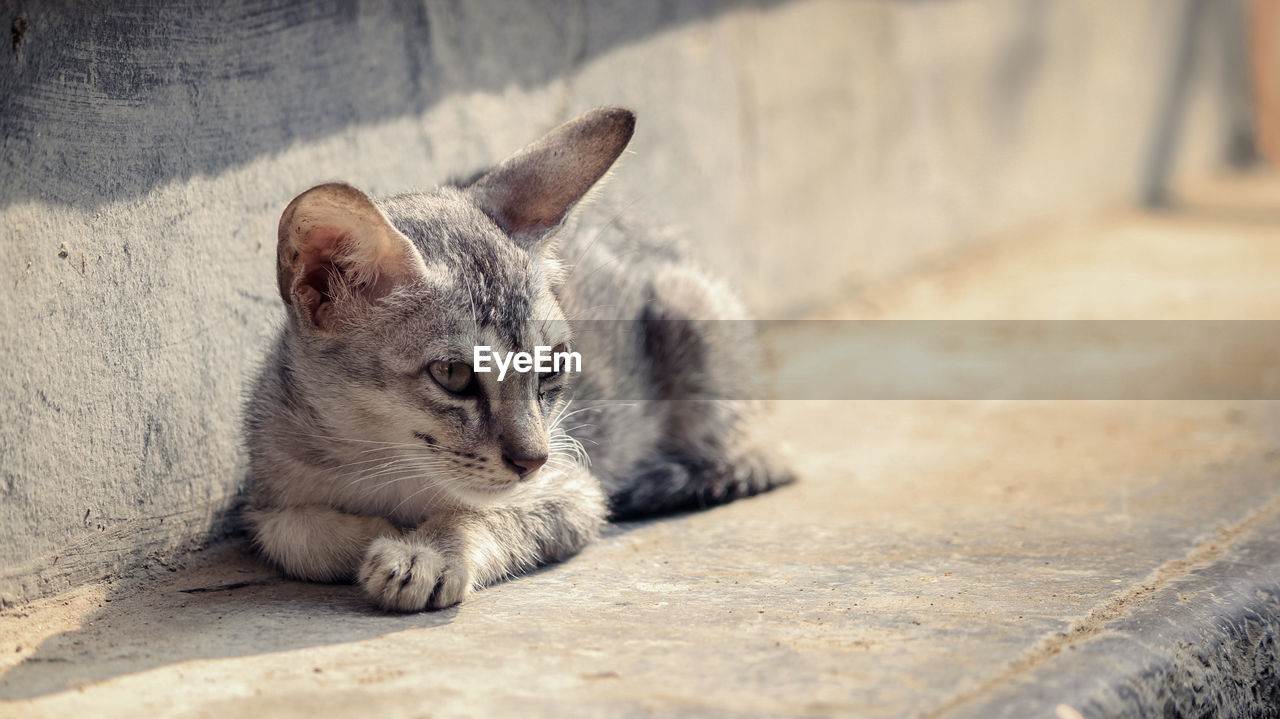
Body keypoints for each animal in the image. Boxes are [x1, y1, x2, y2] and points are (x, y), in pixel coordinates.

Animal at [241, 107, 788, 608]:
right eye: (453, 374)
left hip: (690, 312)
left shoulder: (575, 491)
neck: (383, 466)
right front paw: (369, 534)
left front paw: (427, 552)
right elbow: (290, 535)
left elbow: (485, 512)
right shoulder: (269, 487)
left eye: (553, 366)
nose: (532, 459)